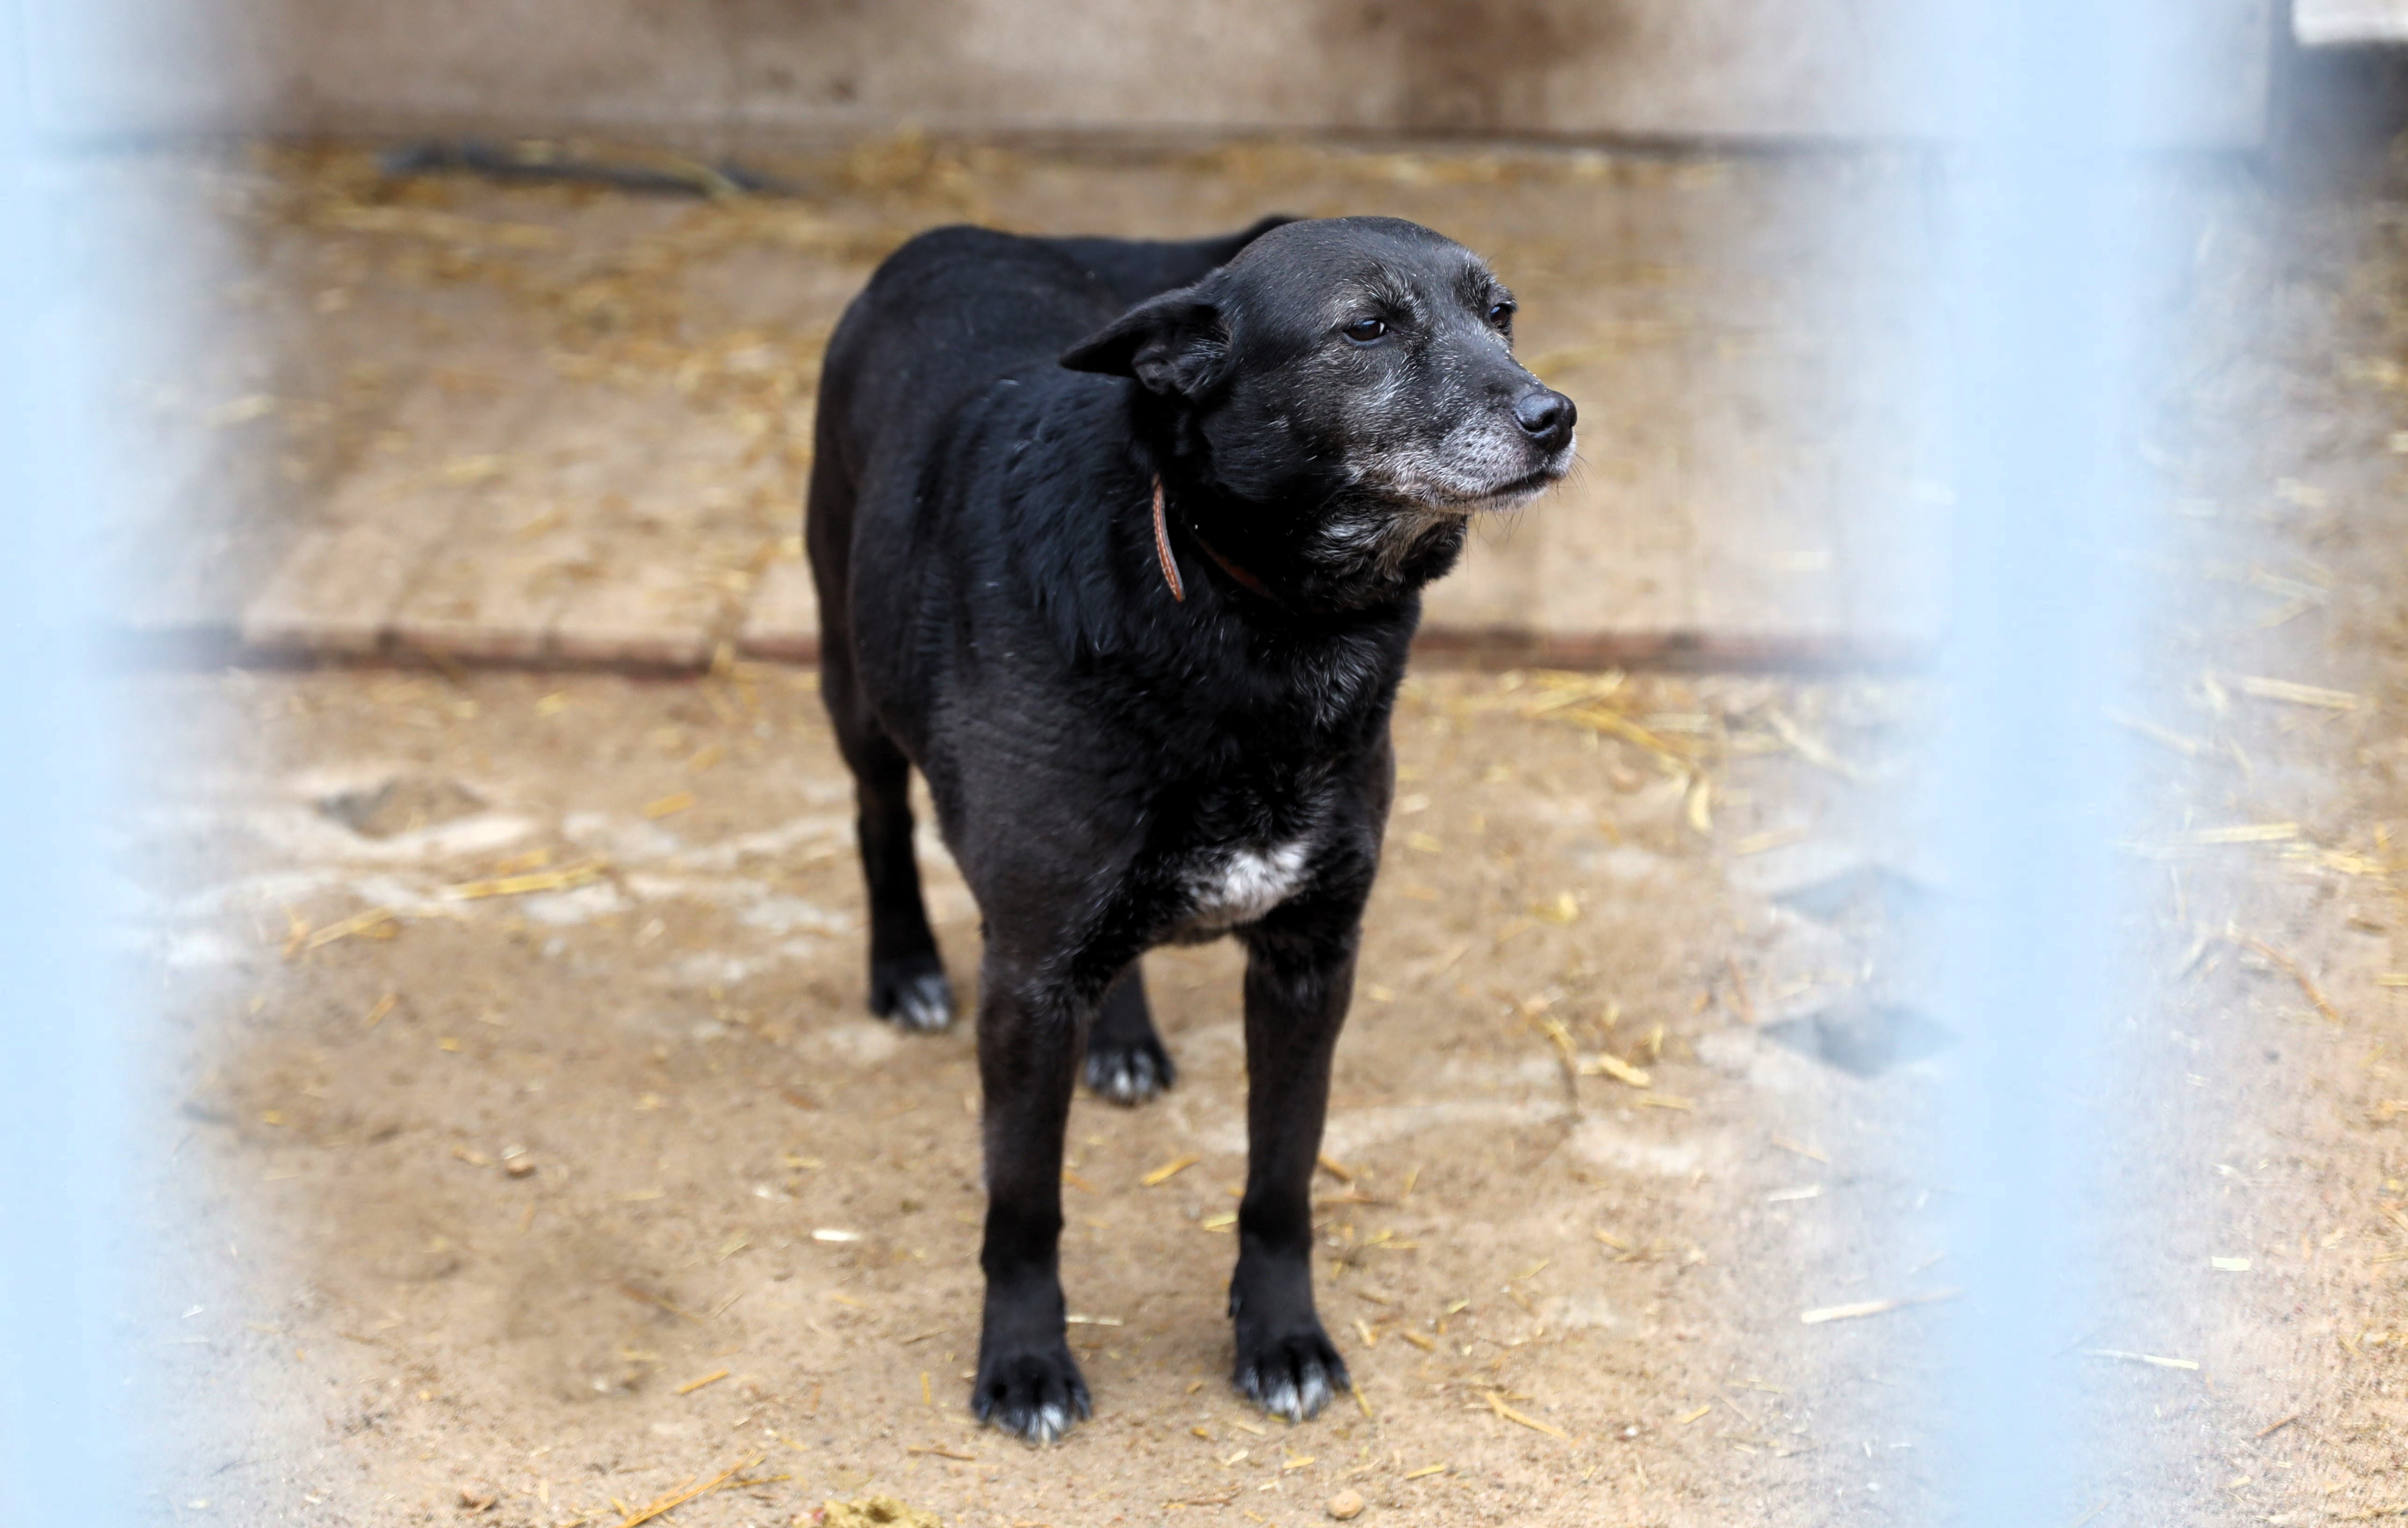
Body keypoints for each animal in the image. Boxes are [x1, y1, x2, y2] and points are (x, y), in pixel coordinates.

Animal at [799, 214, 1570, 1436]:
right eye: (1367, 326)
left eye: (1500, 314)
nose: (1555, 415)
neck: (1253, 617)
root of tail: (962, 230)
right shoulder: (1026, 979)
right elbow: (1024, 1204)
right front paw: (1023, 1362)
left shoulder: (1311, 957)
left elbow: (1281, 1179)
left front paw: (1282, 1337)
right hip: (853, 678)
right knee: (877, 815)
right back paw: (905, 967)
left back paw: (1120, 1035)